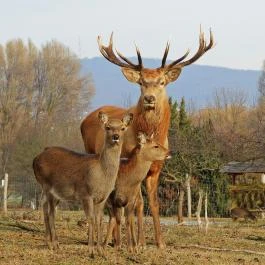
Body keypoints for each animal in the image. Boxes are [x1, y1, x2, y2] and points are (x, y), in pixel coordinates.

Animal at [33, 112, 132, 256]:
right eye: (107, 127)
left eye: (123, 128)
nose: (116, 137)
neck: (103, 175)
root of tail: (36, 159)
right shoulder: (86, 194)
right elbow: (90, 218)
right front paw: (91, 250)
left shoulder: (102, 198)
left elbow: (99, 220)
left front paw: (100, 250)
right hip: (47, 186)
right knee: (51, 213)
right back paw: (55, 244)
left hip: (56, 193)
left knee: (45, 208)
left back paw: (50, 243)